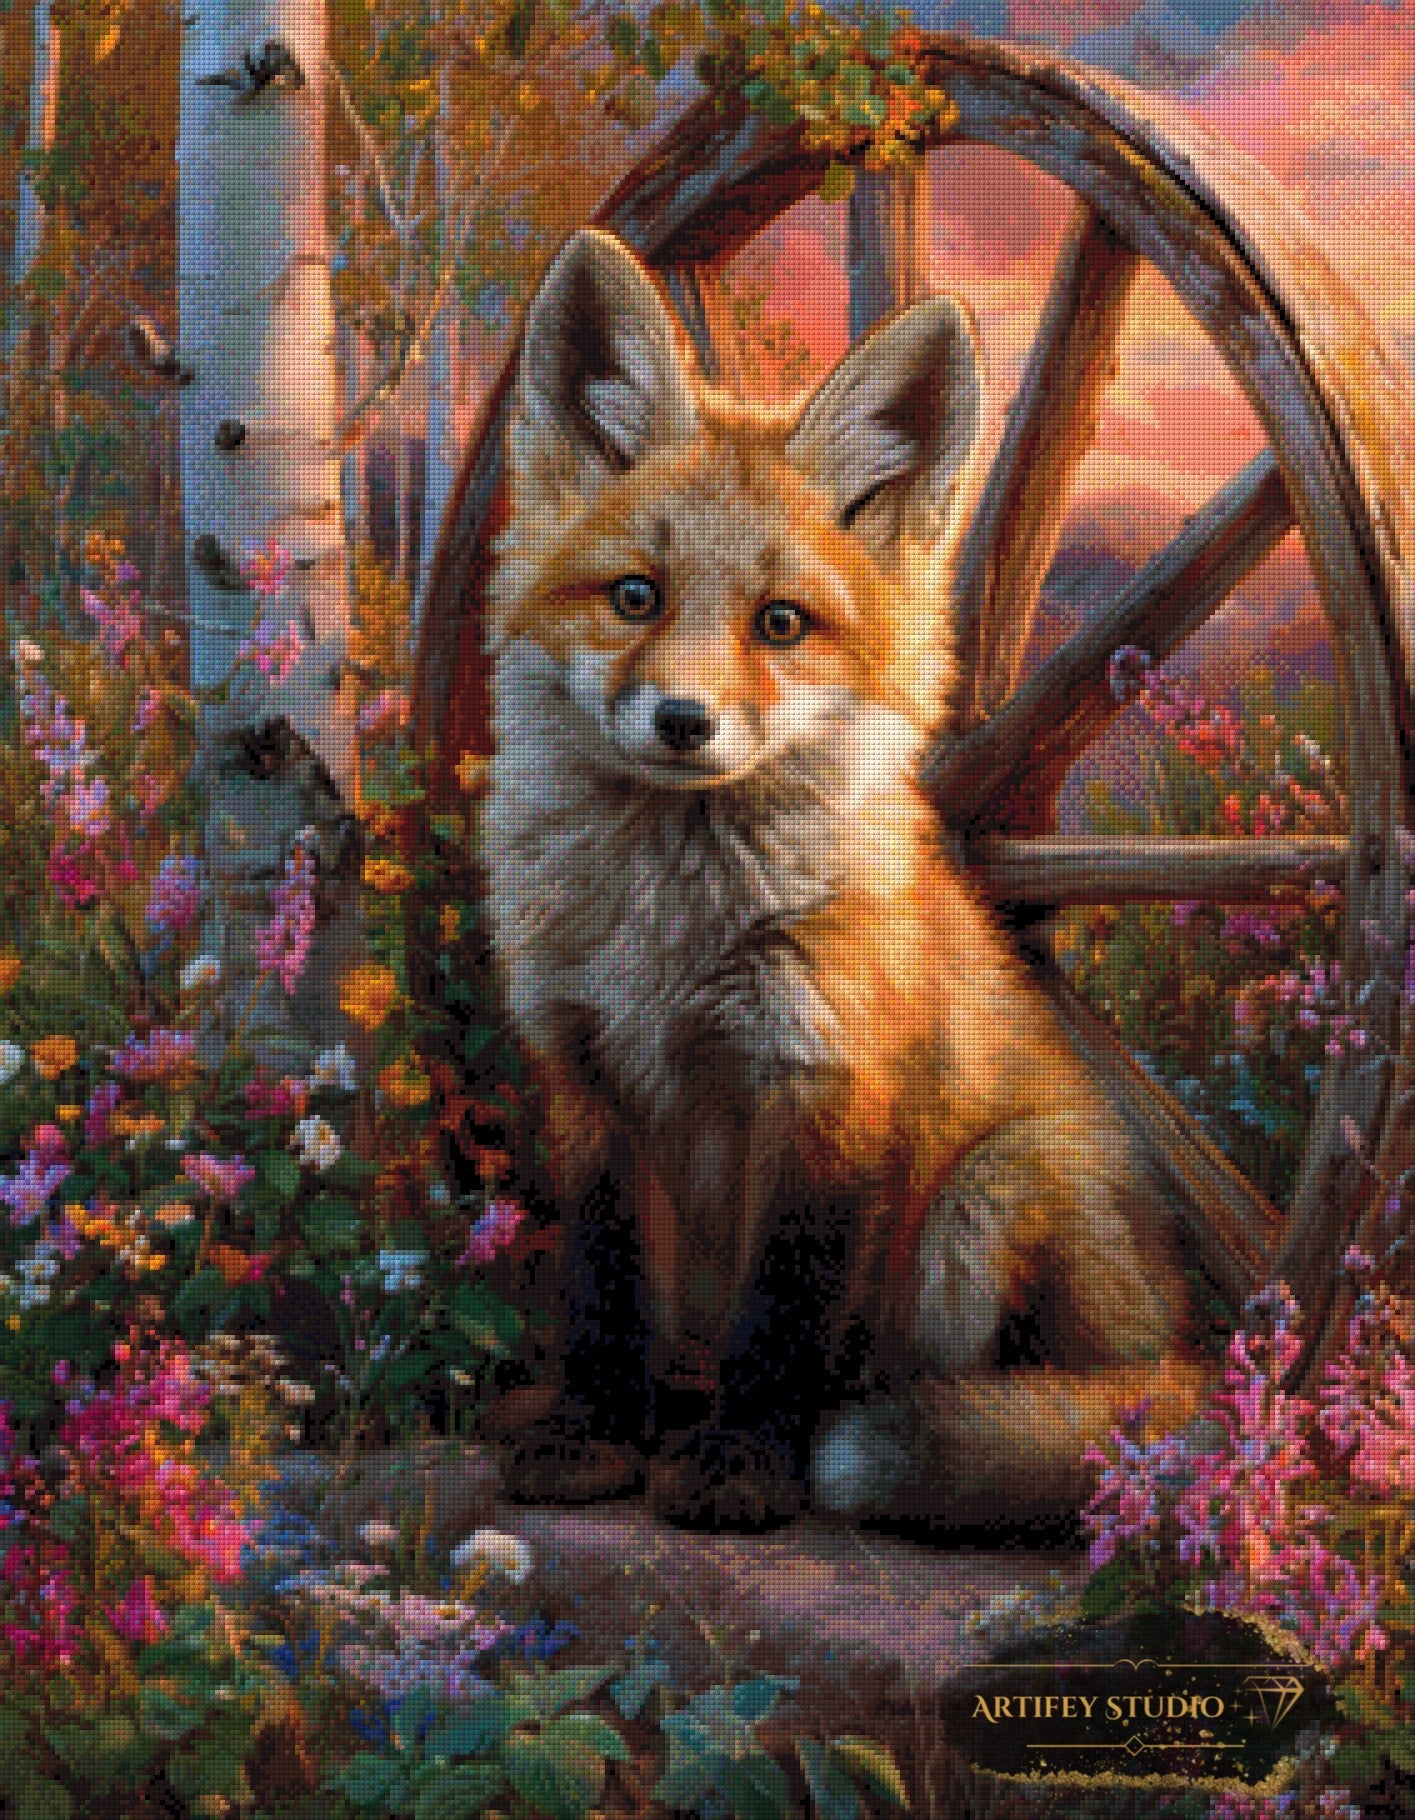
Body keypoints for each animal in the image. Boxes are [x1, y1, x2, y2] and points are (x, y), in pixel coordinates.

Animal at [482, 226, 1211, 1532]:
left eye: (780, 623)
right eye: (633, 597)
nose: (682, 720)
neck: (666, 935)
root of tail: (1191, 1351)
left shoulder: (823, 1087)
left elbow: (783, 1313)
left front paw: (743, 1464)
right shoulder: (585, 1078)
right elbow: (603, 1290)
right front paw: (593, 1433)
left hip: (985, 1194)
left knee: (1023, 1392)